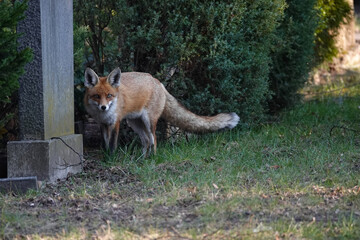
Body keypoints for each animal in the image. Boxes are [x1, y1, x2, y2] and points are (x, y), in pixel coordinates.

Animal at [82, 66, 238, 155]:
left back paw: (153, 159)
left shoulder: (116, 122)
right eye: (97, 96)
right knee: (146, 141)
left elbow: (113, 144)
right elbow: (105, 143)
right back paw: (142, 159)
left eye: (109, 95)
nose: (103, 107)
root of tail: (158, 82)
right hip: (135, 123)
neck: (104, 114)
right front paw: (105, 157)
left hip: (148, 121)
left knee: (154, 140)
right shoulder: (102, 124)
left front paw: (112, 158)